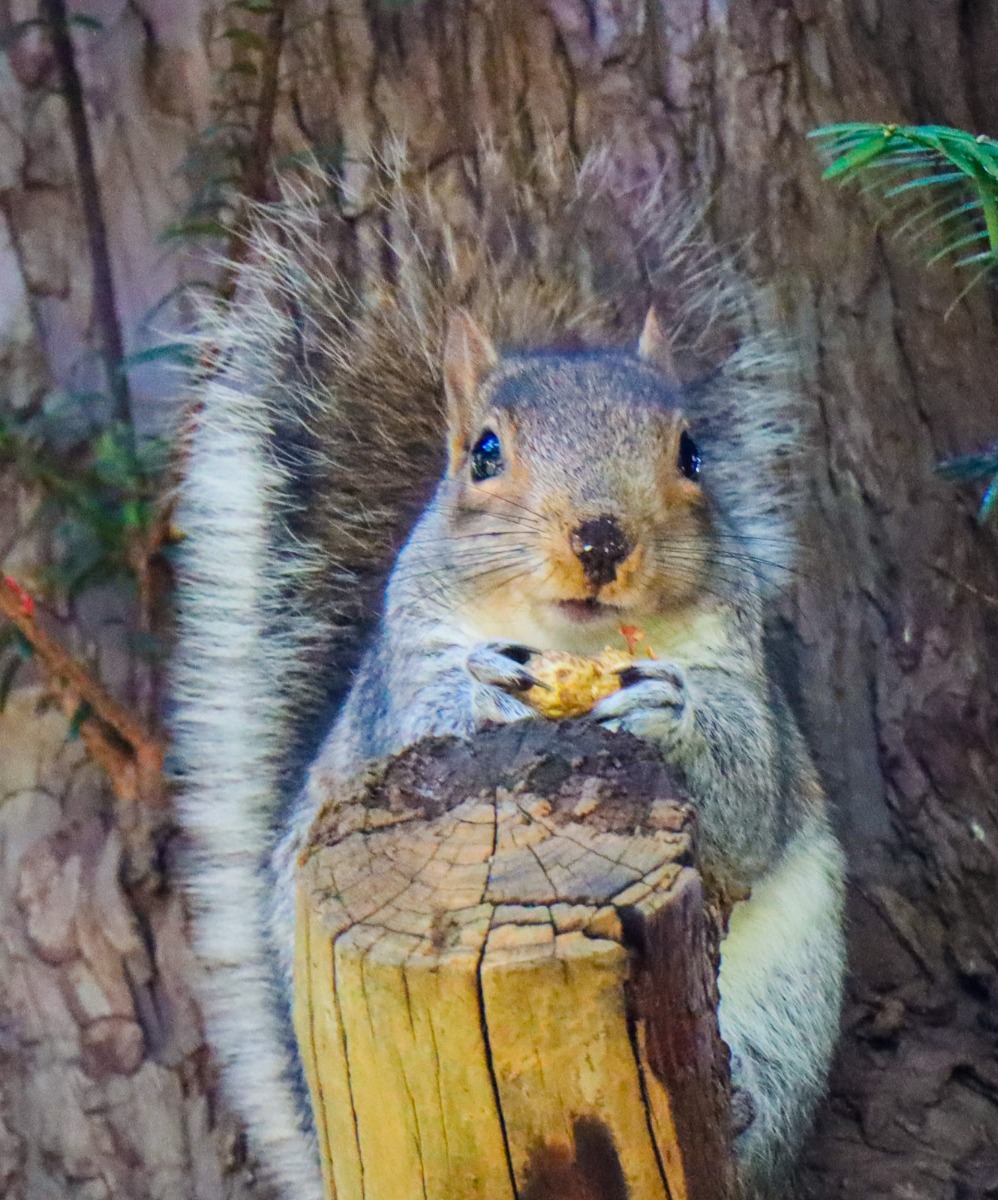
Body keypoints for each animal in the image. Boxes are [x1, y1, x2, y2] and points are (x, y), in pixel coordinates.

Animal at [173, 144, 845, 1200]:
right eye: (483, 452)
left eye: (693, 452)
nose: (601, 537)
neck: (571, 642)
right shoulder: (401, 669)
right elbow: (410, 737)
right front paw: (485, 693)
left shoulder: (749, 681)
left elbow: (747, 805)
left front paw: (666, 714)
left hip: (786, 1011)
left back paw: (738, 1114)